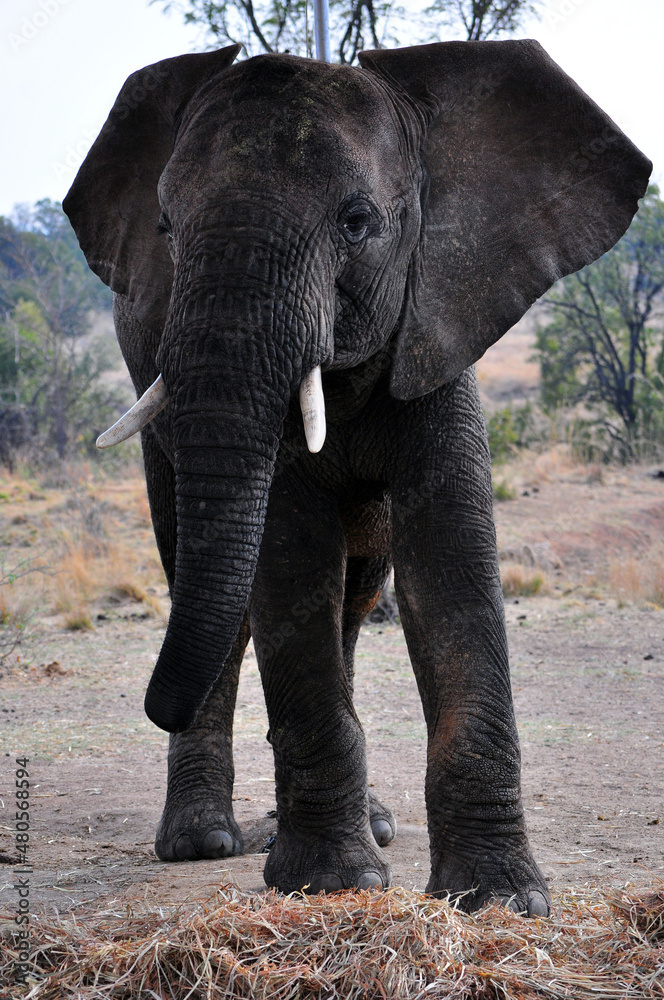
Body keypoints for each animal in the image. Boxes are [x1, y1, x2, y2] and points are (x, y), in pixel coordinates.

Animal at [63, 39, 650, 916]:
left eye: (357, 223)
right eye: (165, 227)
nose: (153, 706)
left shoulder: (438, 311)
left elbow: (450, 564)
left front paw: (497, 902)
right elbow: (287, 562)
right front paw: (330, 885)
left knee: (351, 595)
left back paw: (362, 824)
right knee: (208, 584)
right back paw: (203, 842)